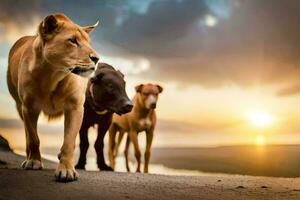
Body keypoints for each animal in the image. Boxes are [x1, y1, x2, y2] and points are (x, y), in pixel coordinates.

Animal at [6, 12, 99, 181]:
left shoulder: (75, 107)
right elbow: (34, 138)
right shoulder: (29, 107)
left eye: (88, 42)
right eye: (72, 41)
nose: (96, 58)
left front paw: (66, 170)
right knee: (28, 134)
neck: (53, 75)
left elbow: (69, 141)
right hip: (19, 106)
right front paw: (34, 161)